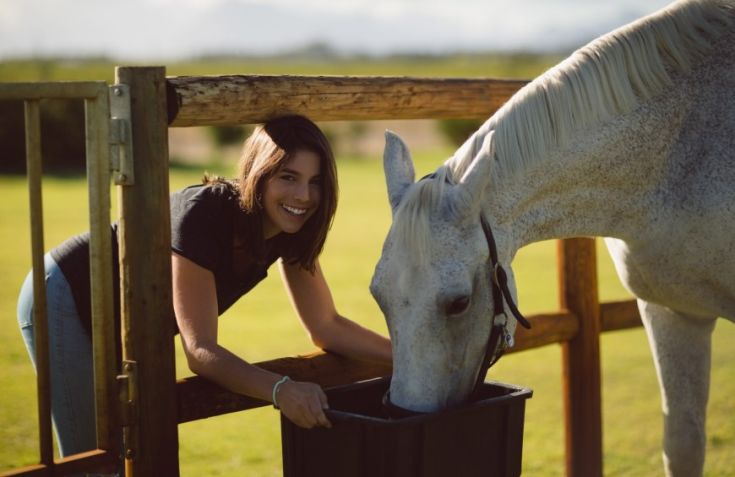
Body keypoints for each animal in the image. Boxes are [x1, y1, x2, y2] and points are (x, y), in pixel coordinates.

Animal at [374, 0, 735, 472]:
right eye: (377, 296)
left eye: (459, 303)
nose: (402, 414)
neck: (678, 155)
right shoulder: (672, 313)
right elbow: (683, 445)